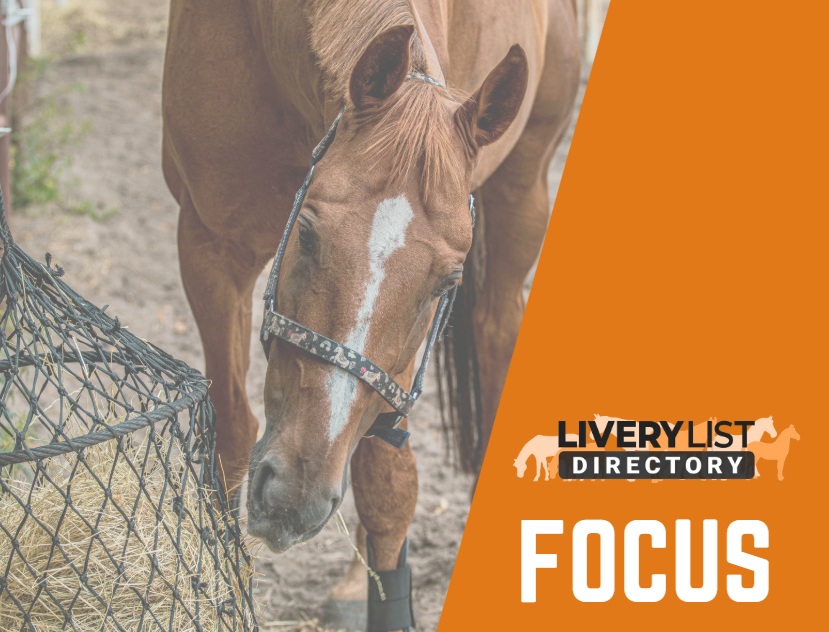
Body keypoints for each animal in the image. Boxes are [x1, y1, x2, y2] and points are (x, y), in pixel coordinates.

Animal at [162, 0, 579, 625]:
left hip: (524, 190)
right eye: (307, 233)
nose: (294, 494)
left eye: (444, 283)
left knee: (495, 333)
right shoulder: (211, 248)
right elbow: (231, 433)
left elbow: (386, 484)